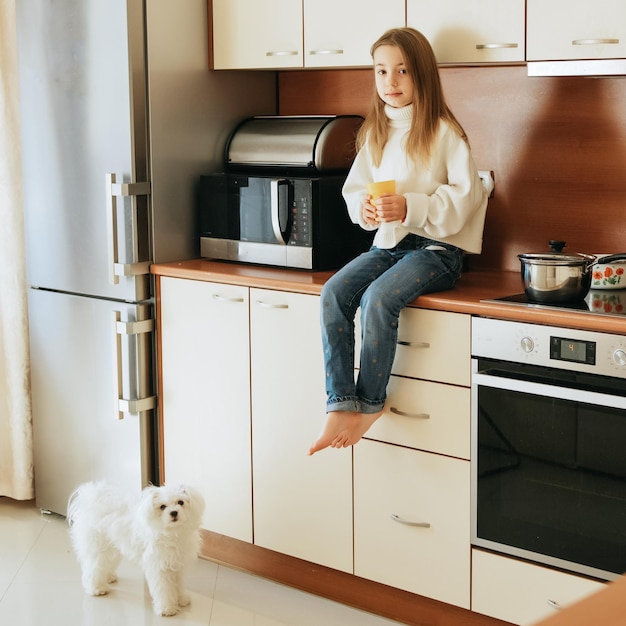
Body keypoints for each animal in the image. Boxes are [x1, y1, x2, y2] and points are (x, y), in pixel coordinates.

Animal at [68, 478, 205, 616]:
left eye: (180, 502)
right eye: (162, 507)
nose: (174, 512)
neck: (172, 533)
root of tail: (91, 500)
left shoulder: (179, 565)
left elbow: (179, 585)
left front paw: (182, 599)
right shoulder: (158, 567)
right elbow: (163, 589)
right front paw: (166, 608)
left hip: (112, 549)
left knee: (105, 564)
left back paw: (109, 577)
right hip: (99, 549)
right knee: (93, 568)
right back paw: (96, 588)